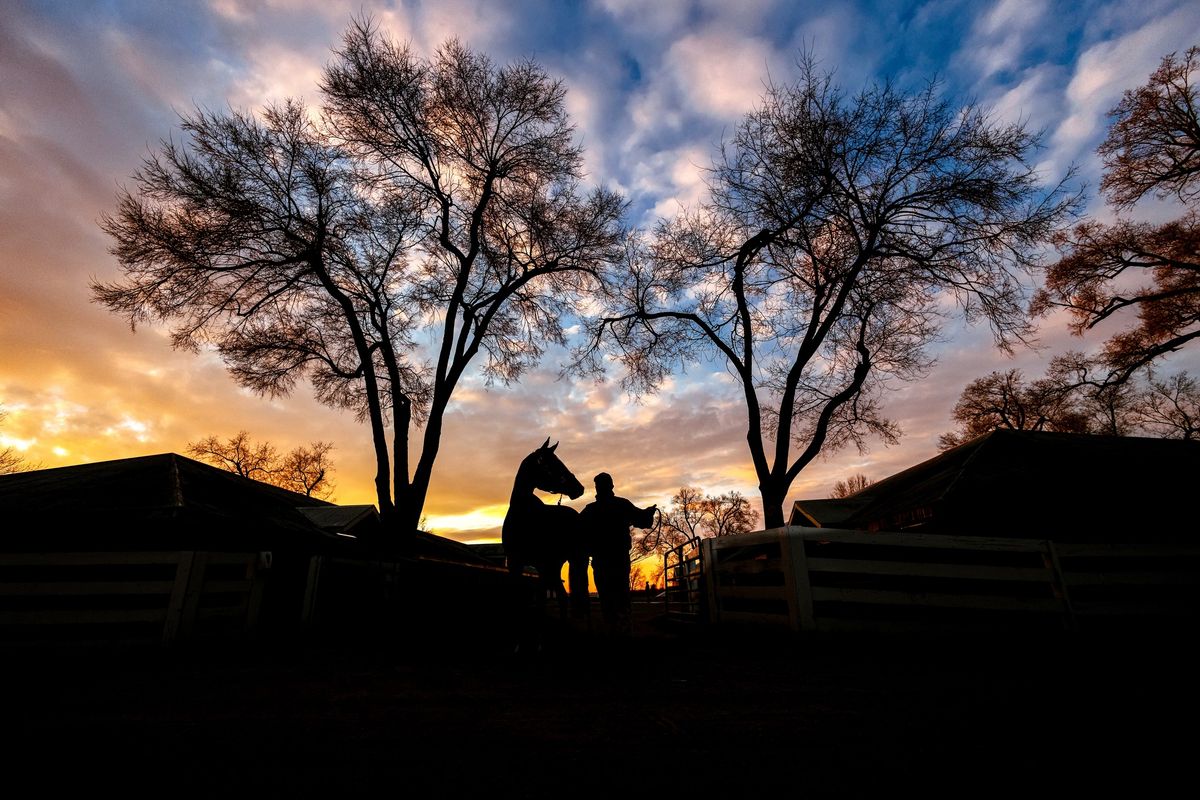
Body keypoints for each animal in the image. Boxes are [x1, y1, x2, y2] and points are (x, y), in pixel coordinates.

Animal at [499, 438, 588, 623]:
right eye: (553, 464)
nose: (579, 488)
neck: (524, 515)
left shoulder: (544, 563)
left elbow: (541, 598)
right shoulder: (516, 562)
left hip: (574, 560)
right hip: (555, 565)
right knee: (562, 596)